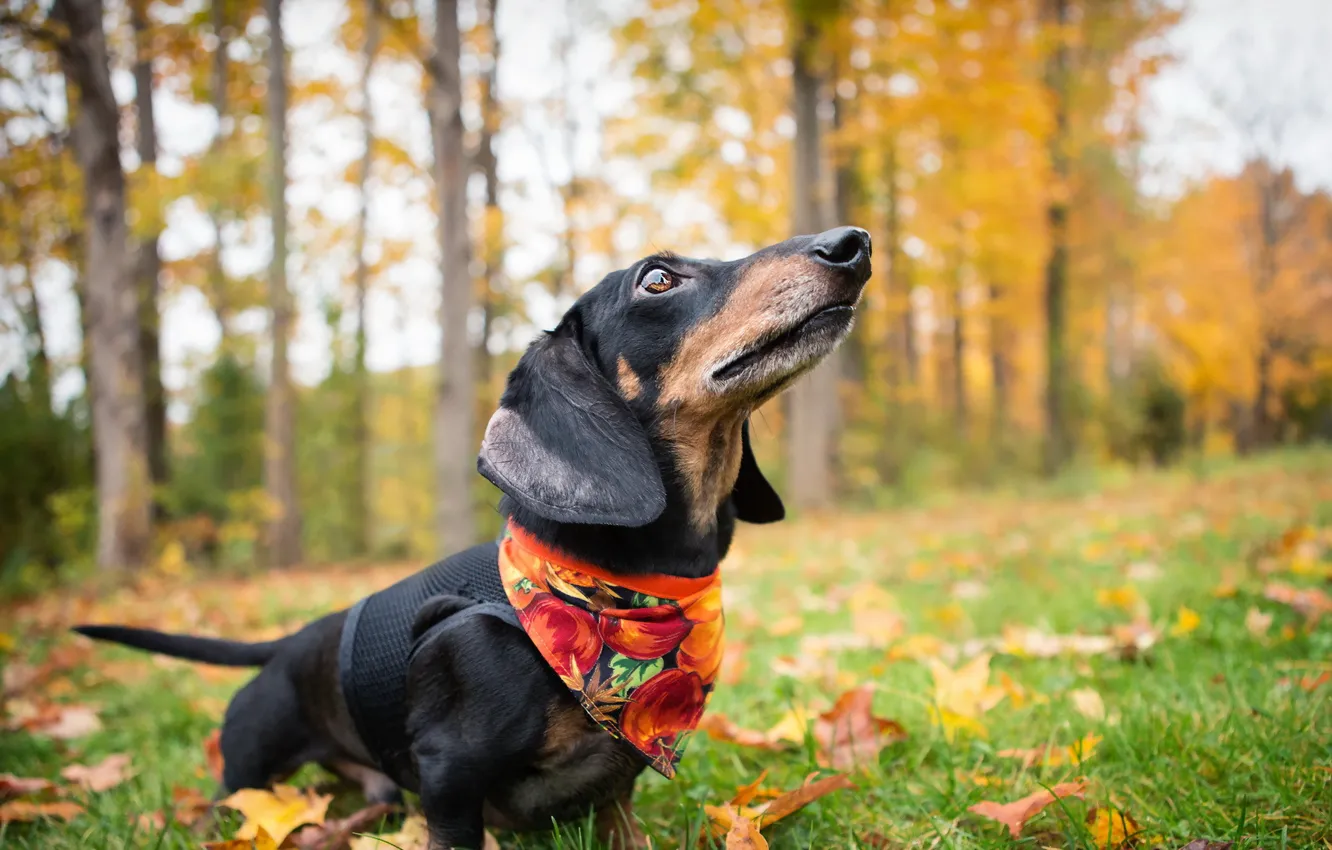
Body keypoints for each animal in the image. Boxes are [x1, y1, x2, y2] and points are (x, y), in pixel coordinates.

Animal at [80, 226, 873, 850]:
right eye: (658, 279)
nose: (853, 244)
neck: (618, 586)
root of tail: (289, 643)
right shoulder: (450, 775)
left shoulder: (618, 787)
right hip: (248, 769)